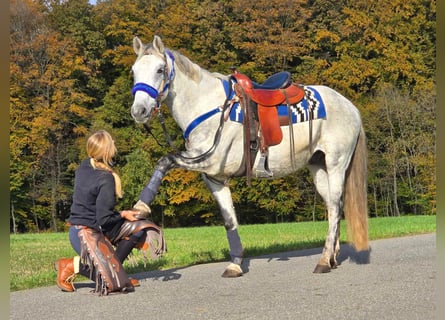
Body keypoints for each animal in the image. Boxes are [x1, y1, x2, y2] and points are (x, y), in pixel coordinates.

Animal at [128, 33, 368, 276]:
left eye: (160, 70)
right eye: (134, 71)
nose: (138, 111)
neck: (210, 108)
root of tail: (350, 106)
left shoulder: (209, 160)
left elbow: (165, 161)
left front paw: (140, 207)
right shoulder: (214, 177)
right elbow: (229, 220)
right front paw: (235, 263)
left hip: (336, 164)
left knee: (335, 207)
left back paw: (324, 260)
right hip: (318, 166)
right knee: (332, 208)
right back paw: (332, 257)